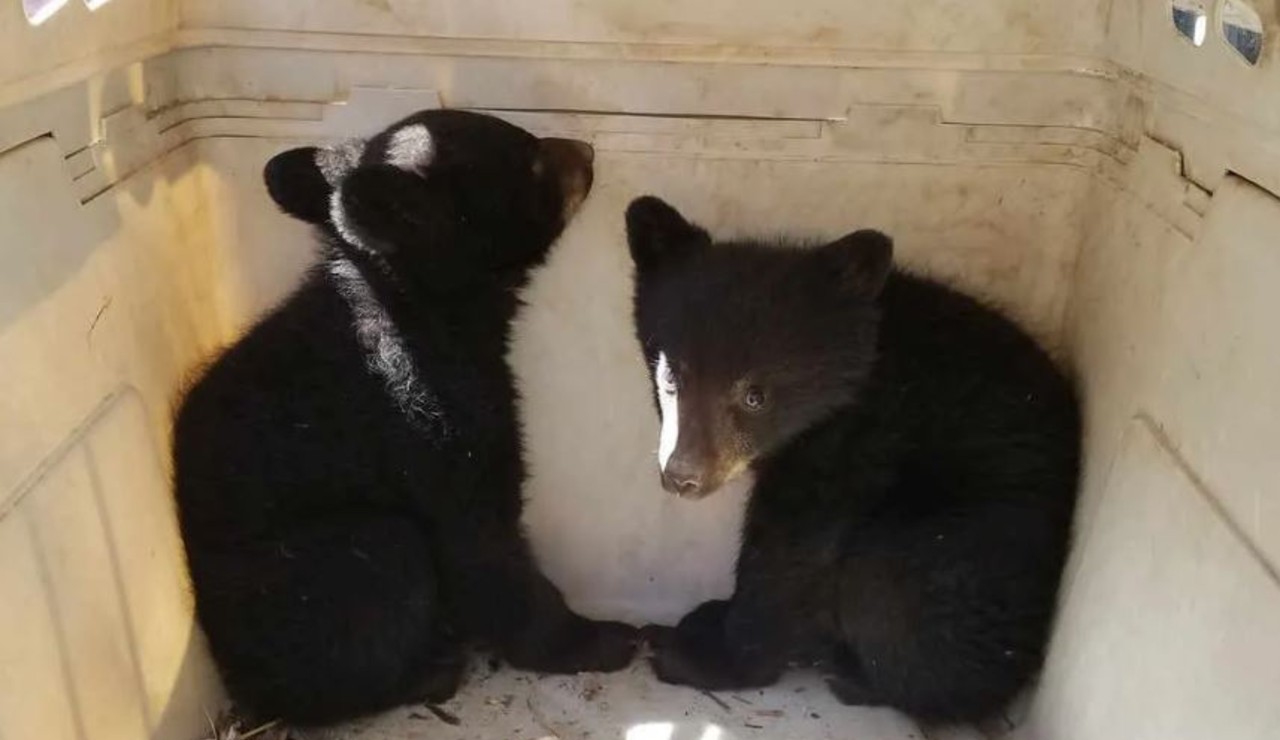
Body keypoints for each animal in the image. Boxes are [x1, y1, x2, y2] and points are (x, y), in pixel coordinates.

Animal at [172, 110, 637, 726]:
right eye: (530, 158)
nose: (586, 149)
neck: (429, 308)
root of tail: (242, 688)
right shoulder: (429, 417)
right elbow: (482, 543)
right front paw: (602, 639)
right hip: (328, 569)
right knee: (387, 566)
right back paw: (427, 672)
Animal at [625, 196, 1080, 723]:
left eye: (755, 395)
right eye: (671, 375)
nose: (683, 476)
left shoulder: (856, 446)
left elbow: (791, 552)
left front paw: (704, 655)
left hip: (970, 557)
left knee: (882, 582)